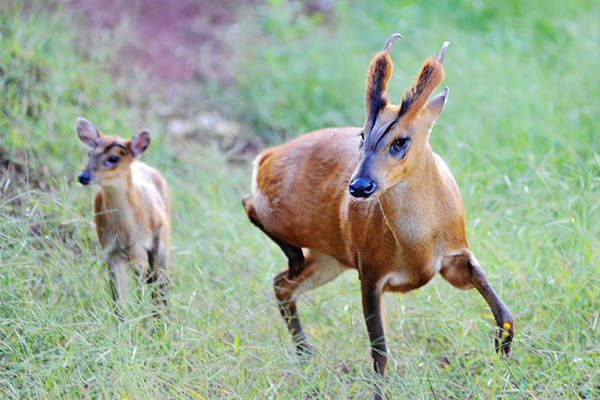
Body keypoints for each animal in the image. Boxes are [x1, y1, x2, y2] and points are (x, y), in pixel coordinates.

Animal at [76, 117, 171, 318]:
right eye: (89, 153)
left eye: (113, 158)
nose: (83, 176)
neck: (126, 233)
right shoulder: (111, 252)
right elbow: (118, 300)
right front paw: (122, 323)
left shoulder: (148, 243)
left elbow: (148, 287)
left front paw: (150, 321)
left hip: (162, 244)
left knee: (161, 283)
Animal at [241, 35, 512, 400]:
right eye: (361, 135)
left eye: (401, 141)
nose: (359, 187)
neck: (416, 247)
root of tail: (266, 156)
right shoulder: (370, 271)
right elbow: (379, 352)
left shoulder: (455, 257)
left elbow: (501, 307)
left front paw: (503, 348)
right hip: (292, 223)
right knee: (250, 207)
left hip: (328, 259)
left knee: (282, 285)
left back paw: (306, 355)